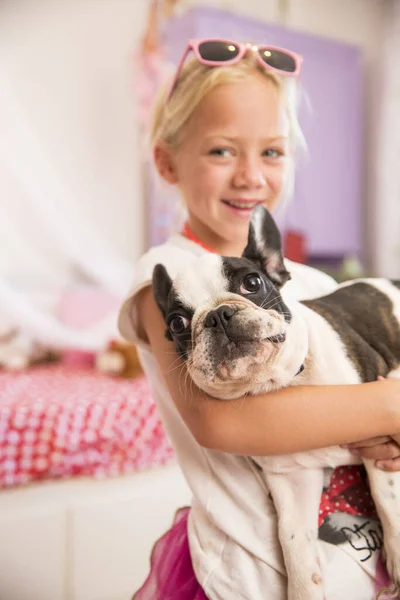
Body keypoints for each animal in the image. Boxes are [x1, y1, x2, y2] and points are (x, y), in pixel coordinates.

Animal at [152, 207, 400, 600]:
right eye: (177, 323)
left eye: (252, 284)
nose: (217, 315)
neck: (286, 382)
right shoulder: (293, 480)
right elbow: (294, 544)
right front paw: (303, 590)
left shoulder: (379, 443)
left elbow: (388, 502)